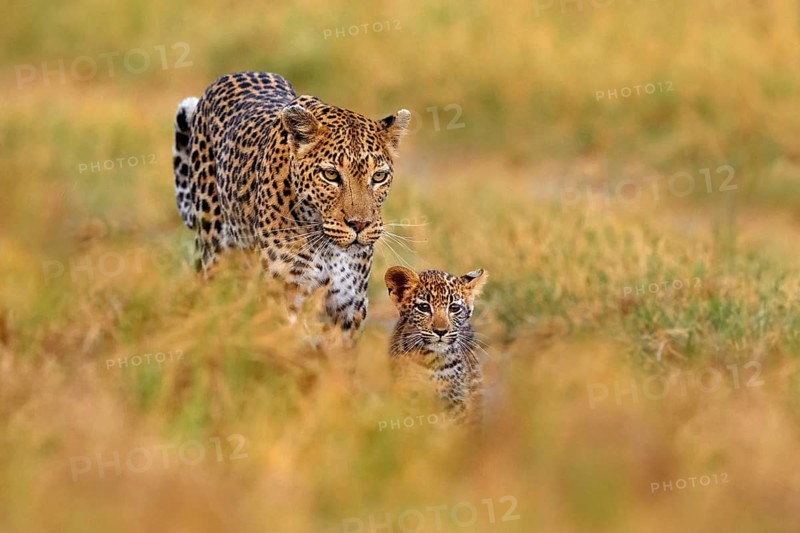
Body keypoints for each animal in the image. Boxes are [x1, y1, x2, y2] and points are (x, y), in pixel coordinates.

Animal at [172, 72, 410, 340]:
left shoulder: (349, 307)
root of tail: (232, 75)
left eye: (378, 177)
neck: (328, 248)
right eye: (330, 175)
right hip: (214, 254)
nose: (360, 224)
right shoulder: (283, 295)